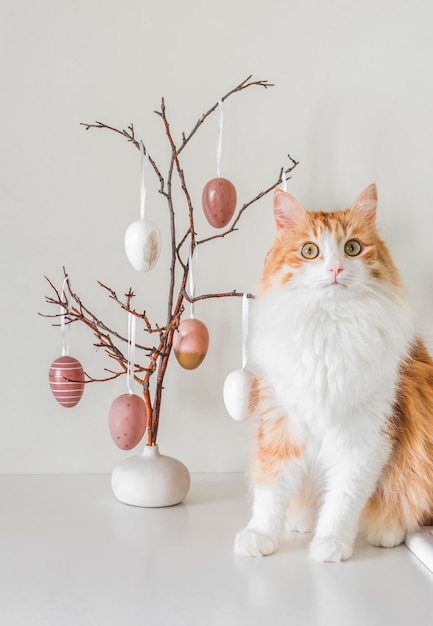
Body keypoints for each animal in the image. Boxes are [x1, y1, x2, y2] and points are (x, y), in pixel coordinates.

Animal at [235, 183, 432, 560]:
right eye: (309, 251)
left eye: (352, 248)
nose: (336, 270)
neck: (328, 328)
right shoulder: (282, 423)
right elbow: (271, 492)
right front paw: (259, 535)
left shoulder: (365, 437)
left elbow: (344, 499)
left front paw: (330, 543)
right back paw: (301, 521)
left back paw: (386, 531)